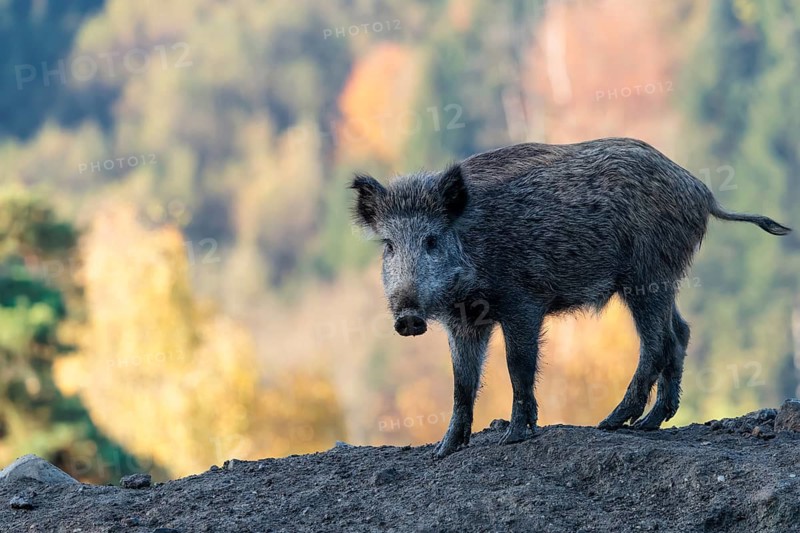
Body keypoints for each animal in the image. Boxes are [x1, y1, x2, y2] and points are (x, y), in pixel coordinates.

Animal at [350, 137, 791, 458]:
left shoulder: (522, 301)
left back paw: (612, 422)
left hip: (647, 275)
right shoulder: (464, 320)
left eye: (432, 240)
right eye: (389, 246)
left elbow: (518, 365)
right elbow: (461, 382)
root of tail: (702, 192)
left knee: (658, 342)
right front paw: (443, 452)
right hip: (664, 278)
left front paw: (514, 436)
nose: (408, 318)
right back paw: (649, 423)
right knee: (680, 333)